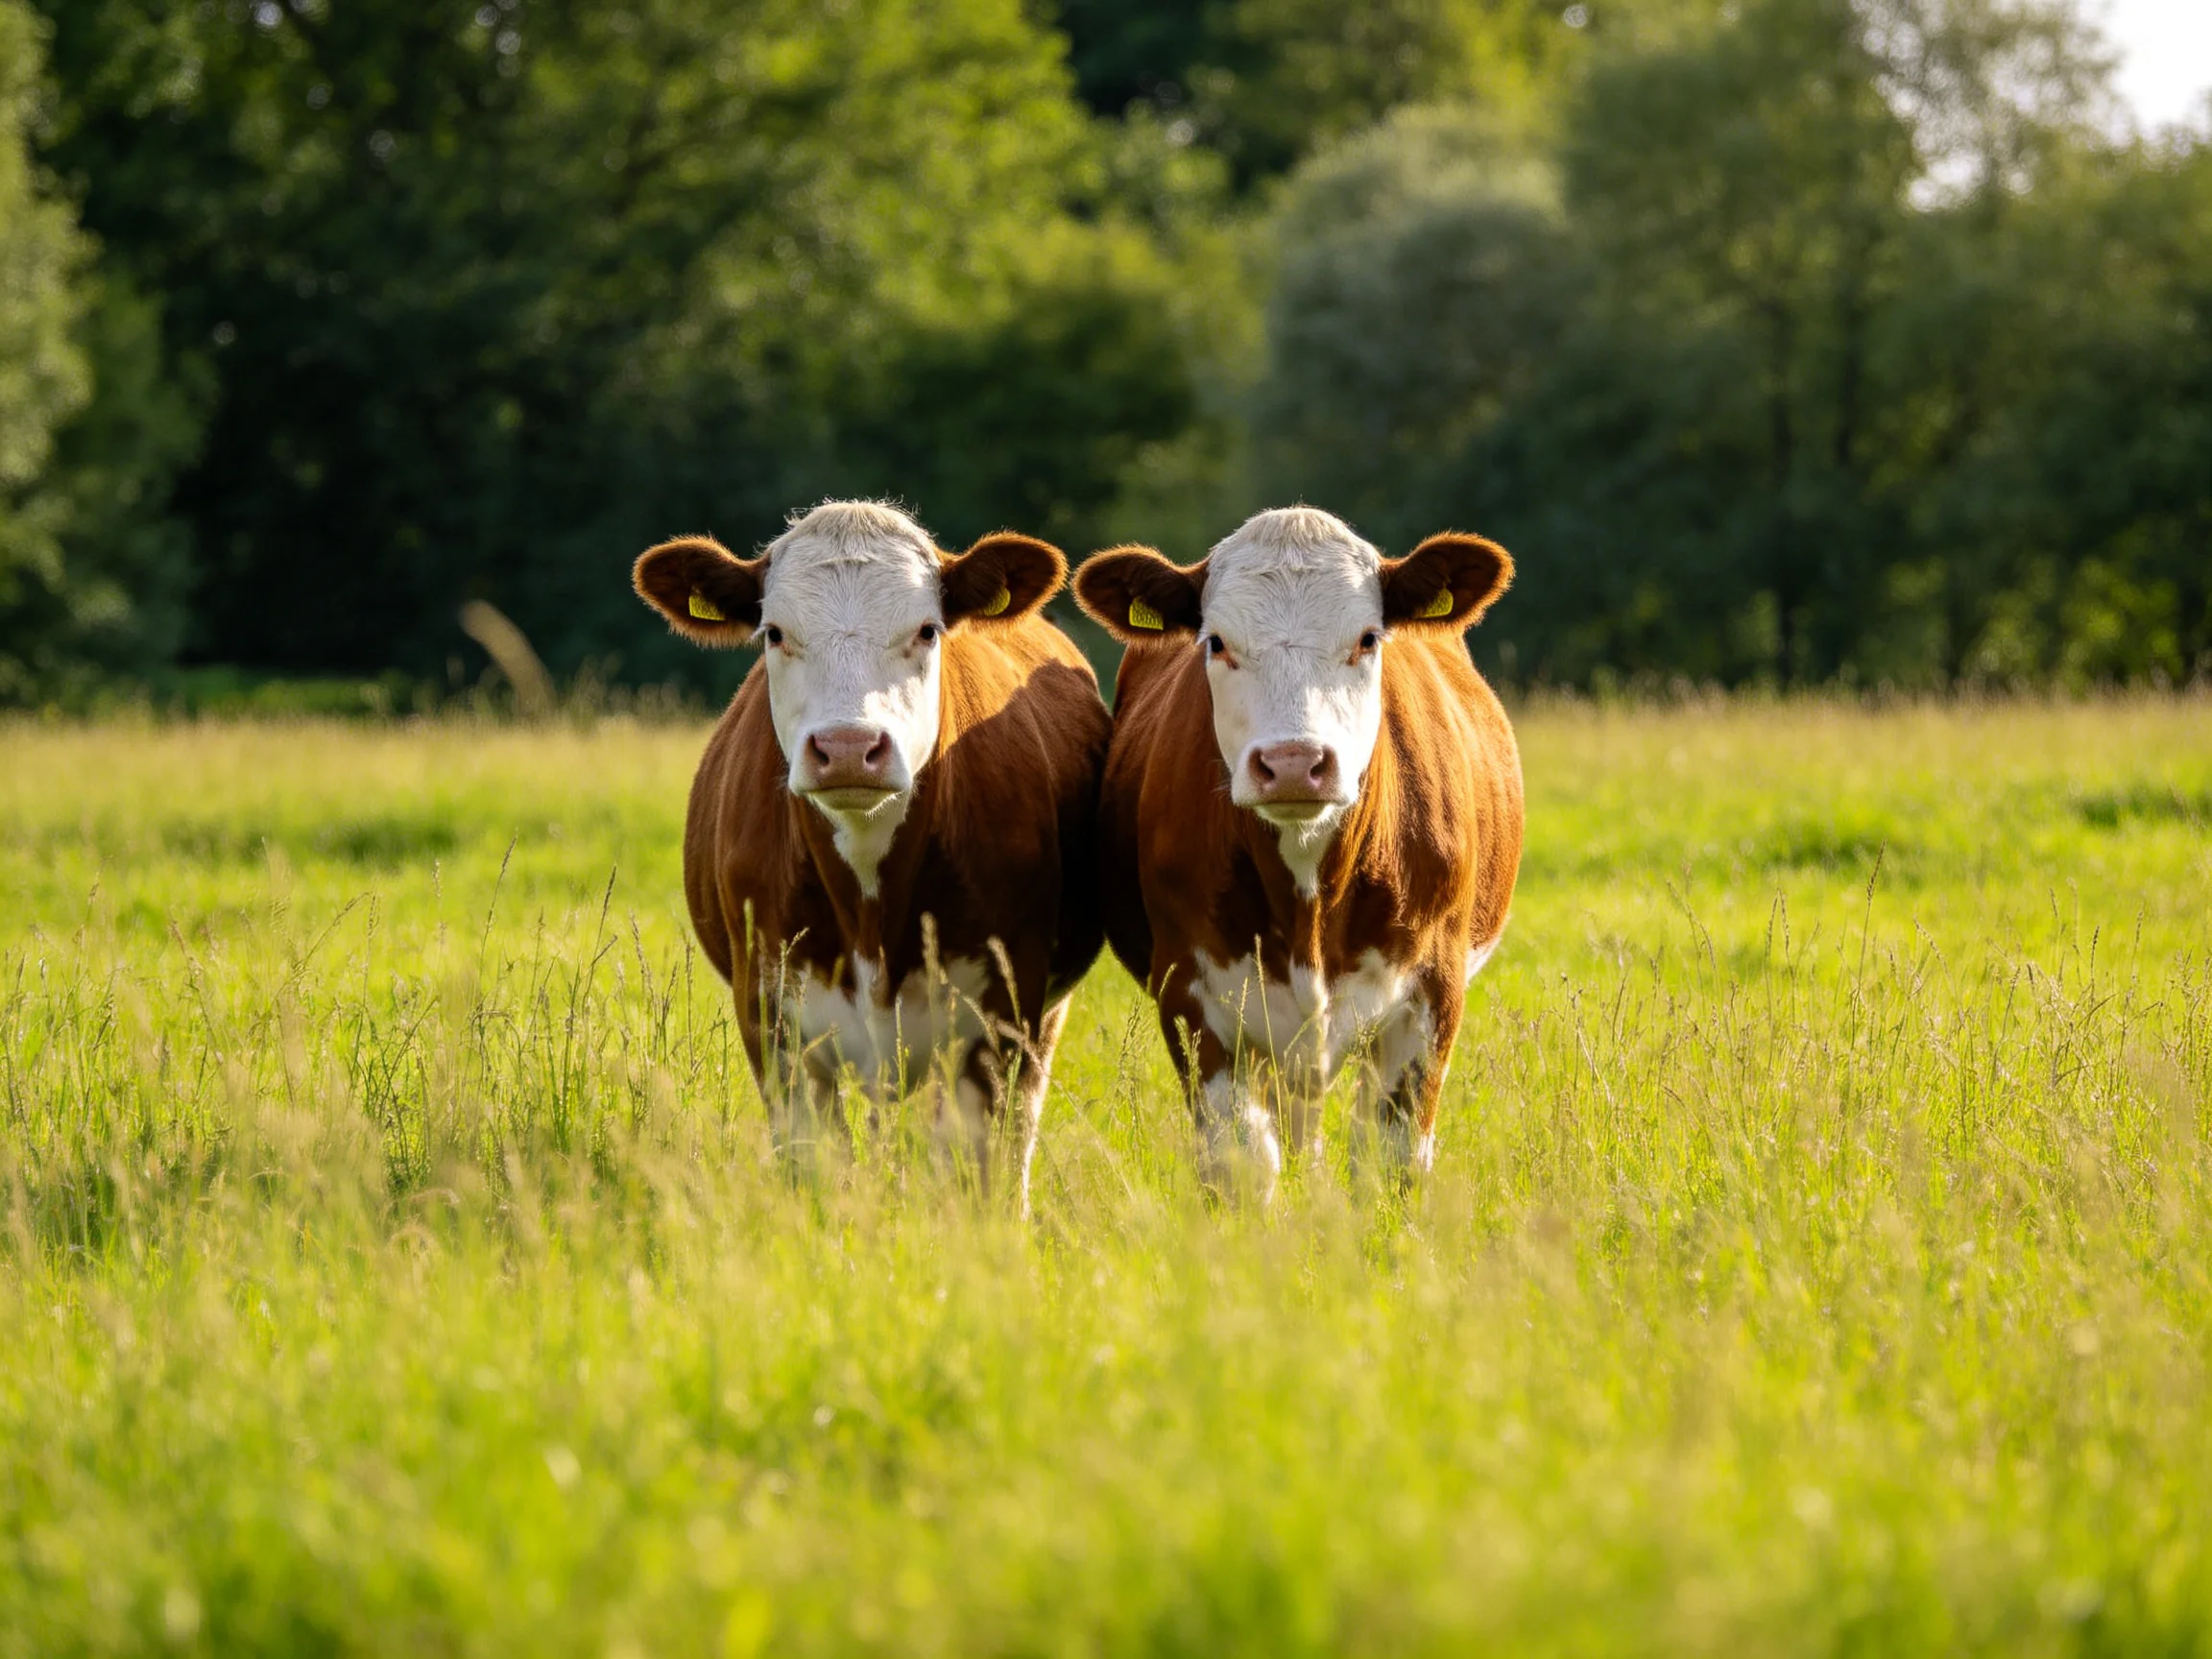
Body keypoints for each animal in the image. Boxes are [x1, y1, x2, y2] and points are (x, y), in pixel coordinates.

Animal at [633, 501, 1111, 1204]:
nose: (849, 747)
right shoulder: (770, 1015)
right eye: (774, 633)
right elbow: (815, 1164)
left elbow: (974, 1166)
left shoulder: (1001, 1010)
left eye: (927, 630)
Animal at [1073, 506, 1522, 1200]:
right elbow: (1239, 1163)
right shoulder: (1192, 994)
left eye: (1367, 639)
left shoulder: (1433, 991)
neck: (1309, 889)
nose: (1292, 763)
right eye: (1216, 642)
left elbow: (1389, 1159)